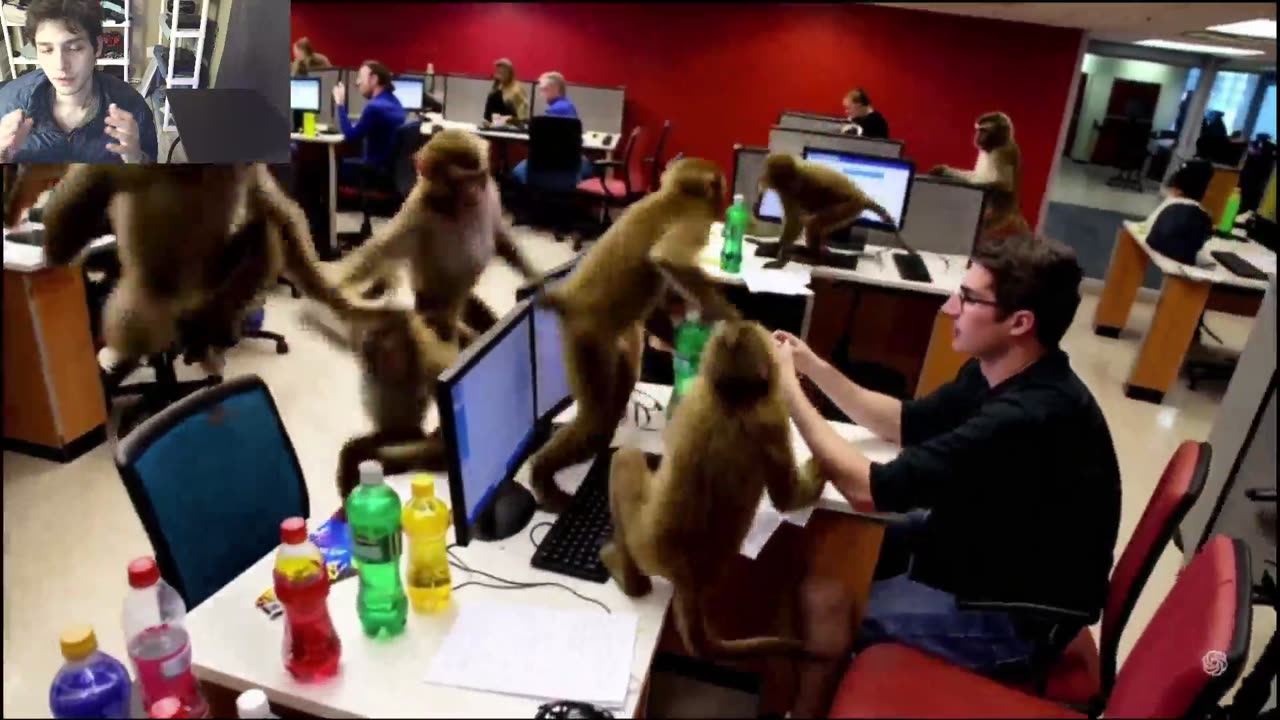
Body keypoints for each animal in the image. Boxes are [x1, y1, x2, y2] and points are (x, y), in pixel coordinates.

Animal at [330, 128, 540, 347]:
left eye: (477, 177)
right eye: (463, 180)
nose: (474, 191)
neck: (451, 207)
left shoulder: (491, 192)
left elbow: (499, 235)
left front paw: (535, 276)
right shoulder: (418, 212)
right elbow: (382, 249)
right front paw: (342, 287)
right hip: (428, 303)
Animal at [532, 157, 742, 513]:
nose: (724, 204)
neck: (673, 194)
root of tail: (568, 299)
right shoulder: (696, 221)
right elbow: (666, 259)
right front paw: (733, 320)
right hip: (587, 338)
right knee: (596, 417)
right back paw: (542, 474)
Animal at [602, 320, 827, 658]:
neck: (735, 401)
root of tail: (689, 578)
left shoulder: (756, 408)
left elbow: (785, 498)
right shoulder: (773, 414)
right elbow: (784, 496)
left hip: (648, 544)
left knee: (624, 458)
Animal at [757, 153, 900, 270]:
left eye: (768, 173)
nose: (763, 178)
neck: (795, 174)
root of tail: (862, 197)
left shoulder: (789, 189)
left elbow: (795, 222)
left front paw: (780, 253)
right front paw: (777, 247)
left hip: (849, 206)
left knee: (813, 223)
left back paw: (815, 258)